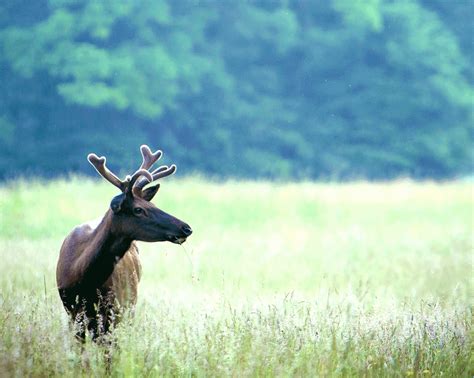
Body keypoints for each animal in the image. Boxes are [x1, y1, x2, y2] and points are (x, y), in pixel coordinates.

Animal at [57, 145, 193, 340]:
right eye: (138, 209)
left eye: (153, 205)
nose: (186, 228)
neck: (84, 279)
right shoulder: (73, 312)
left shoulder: (115, 308)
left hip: (129, 303)